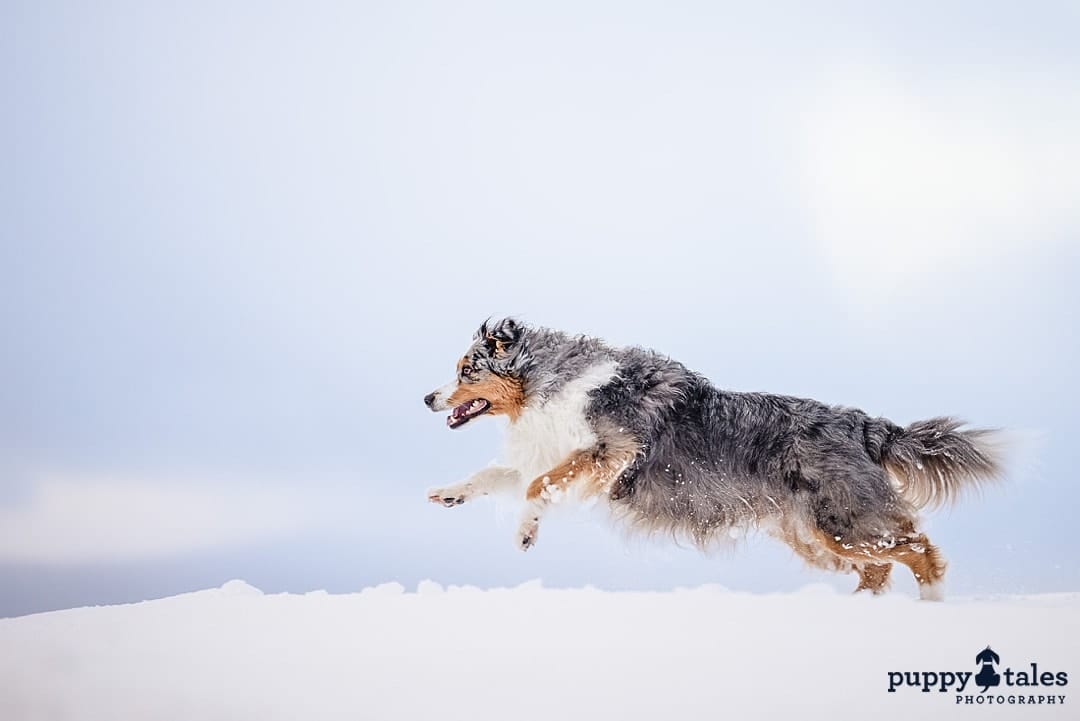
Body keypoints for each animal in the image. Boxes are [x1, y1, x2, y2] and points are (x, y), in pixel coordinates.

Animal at [423, 317, 1002, 600]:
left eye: (466, 370)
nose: (427, 398)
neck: (549, 380)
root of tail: (860, 424)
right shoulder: (547, 448)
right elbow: (497, 474)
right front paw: (449, 494)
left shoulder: (610, 450)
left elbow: (537, 485)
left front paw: (525, 533)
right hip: (813, 534)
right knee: (879, 569)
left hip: (843, 520)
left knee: (919, 549)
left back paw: (932, 604)